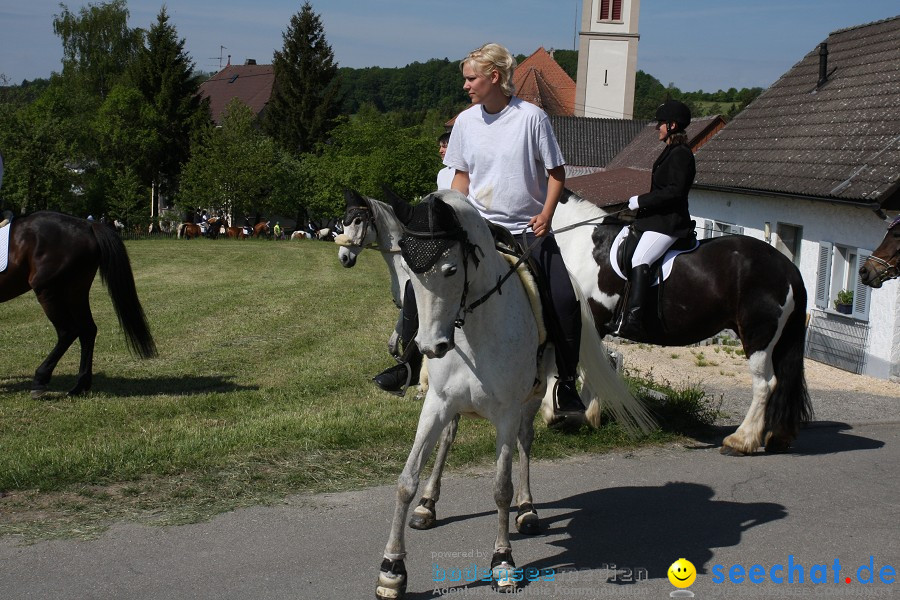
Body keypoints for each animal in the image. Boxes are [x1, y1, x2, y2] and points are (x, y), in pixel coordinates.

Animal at [0, 211, 157, 398]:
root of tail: (87, 225)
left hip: (47, 291)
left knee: (68, 331)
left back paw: (40, 380)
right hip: (76, 291)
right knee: (87, 330)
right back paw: (80, 386)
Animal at [370, 191, 652, 596]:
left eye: (450, 270)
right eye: (410, 272)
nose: (430, 346)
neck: (475, 330)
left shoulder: (506, 412)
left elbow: (501, 487)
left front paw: (502, 561)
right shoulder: (437, 403)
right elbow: (406, 479)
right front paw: (392, 569)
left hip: (531, 401)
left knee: (525, 441)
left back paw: (528, 510)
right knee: (448, 440)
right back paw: (428, 505)